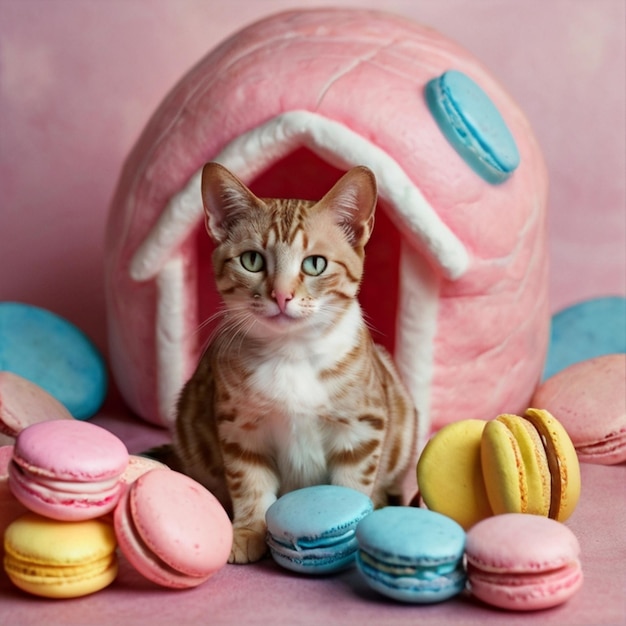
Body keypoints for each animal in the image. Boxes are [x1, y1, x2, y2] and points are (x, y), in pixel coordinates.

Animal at [163, 163, 414, 564]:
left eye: (315, 264)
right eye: (252, 260)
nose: (281, 295)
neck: (291, 353)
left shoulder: (362, 427)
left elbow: (353, 483)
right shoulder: (239, 428)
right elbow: (250, 483)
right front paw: (248, 529)